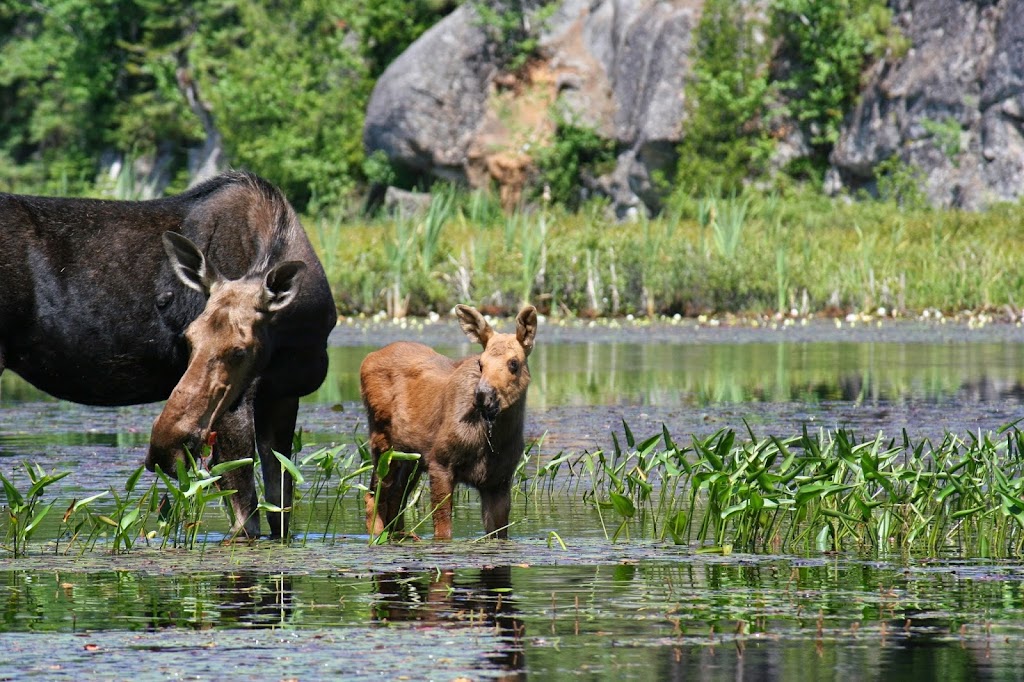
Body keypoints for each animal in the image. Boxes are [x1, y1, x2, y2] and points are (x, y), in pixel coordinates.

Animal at [0, 169, 335, 536]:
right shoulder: (234, 411)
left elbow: (281, 512)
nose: (165, 445)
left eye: (240, 350)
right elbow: (246, 520)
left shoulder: (282, 396)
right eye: (187, 339)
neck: (300, 329)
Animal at [360, 305, 540, 540]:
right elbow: (443, 528)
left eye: (514, 363)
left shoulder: (499, 479)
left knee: (396, 496)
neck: (493, 441)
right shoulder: (440, 461)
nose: (483, 395)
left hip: (411, 457)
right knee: (374, 495)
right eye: (480, 363)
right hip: (383, 443)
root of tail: (367, 358)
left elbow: (499, 532)